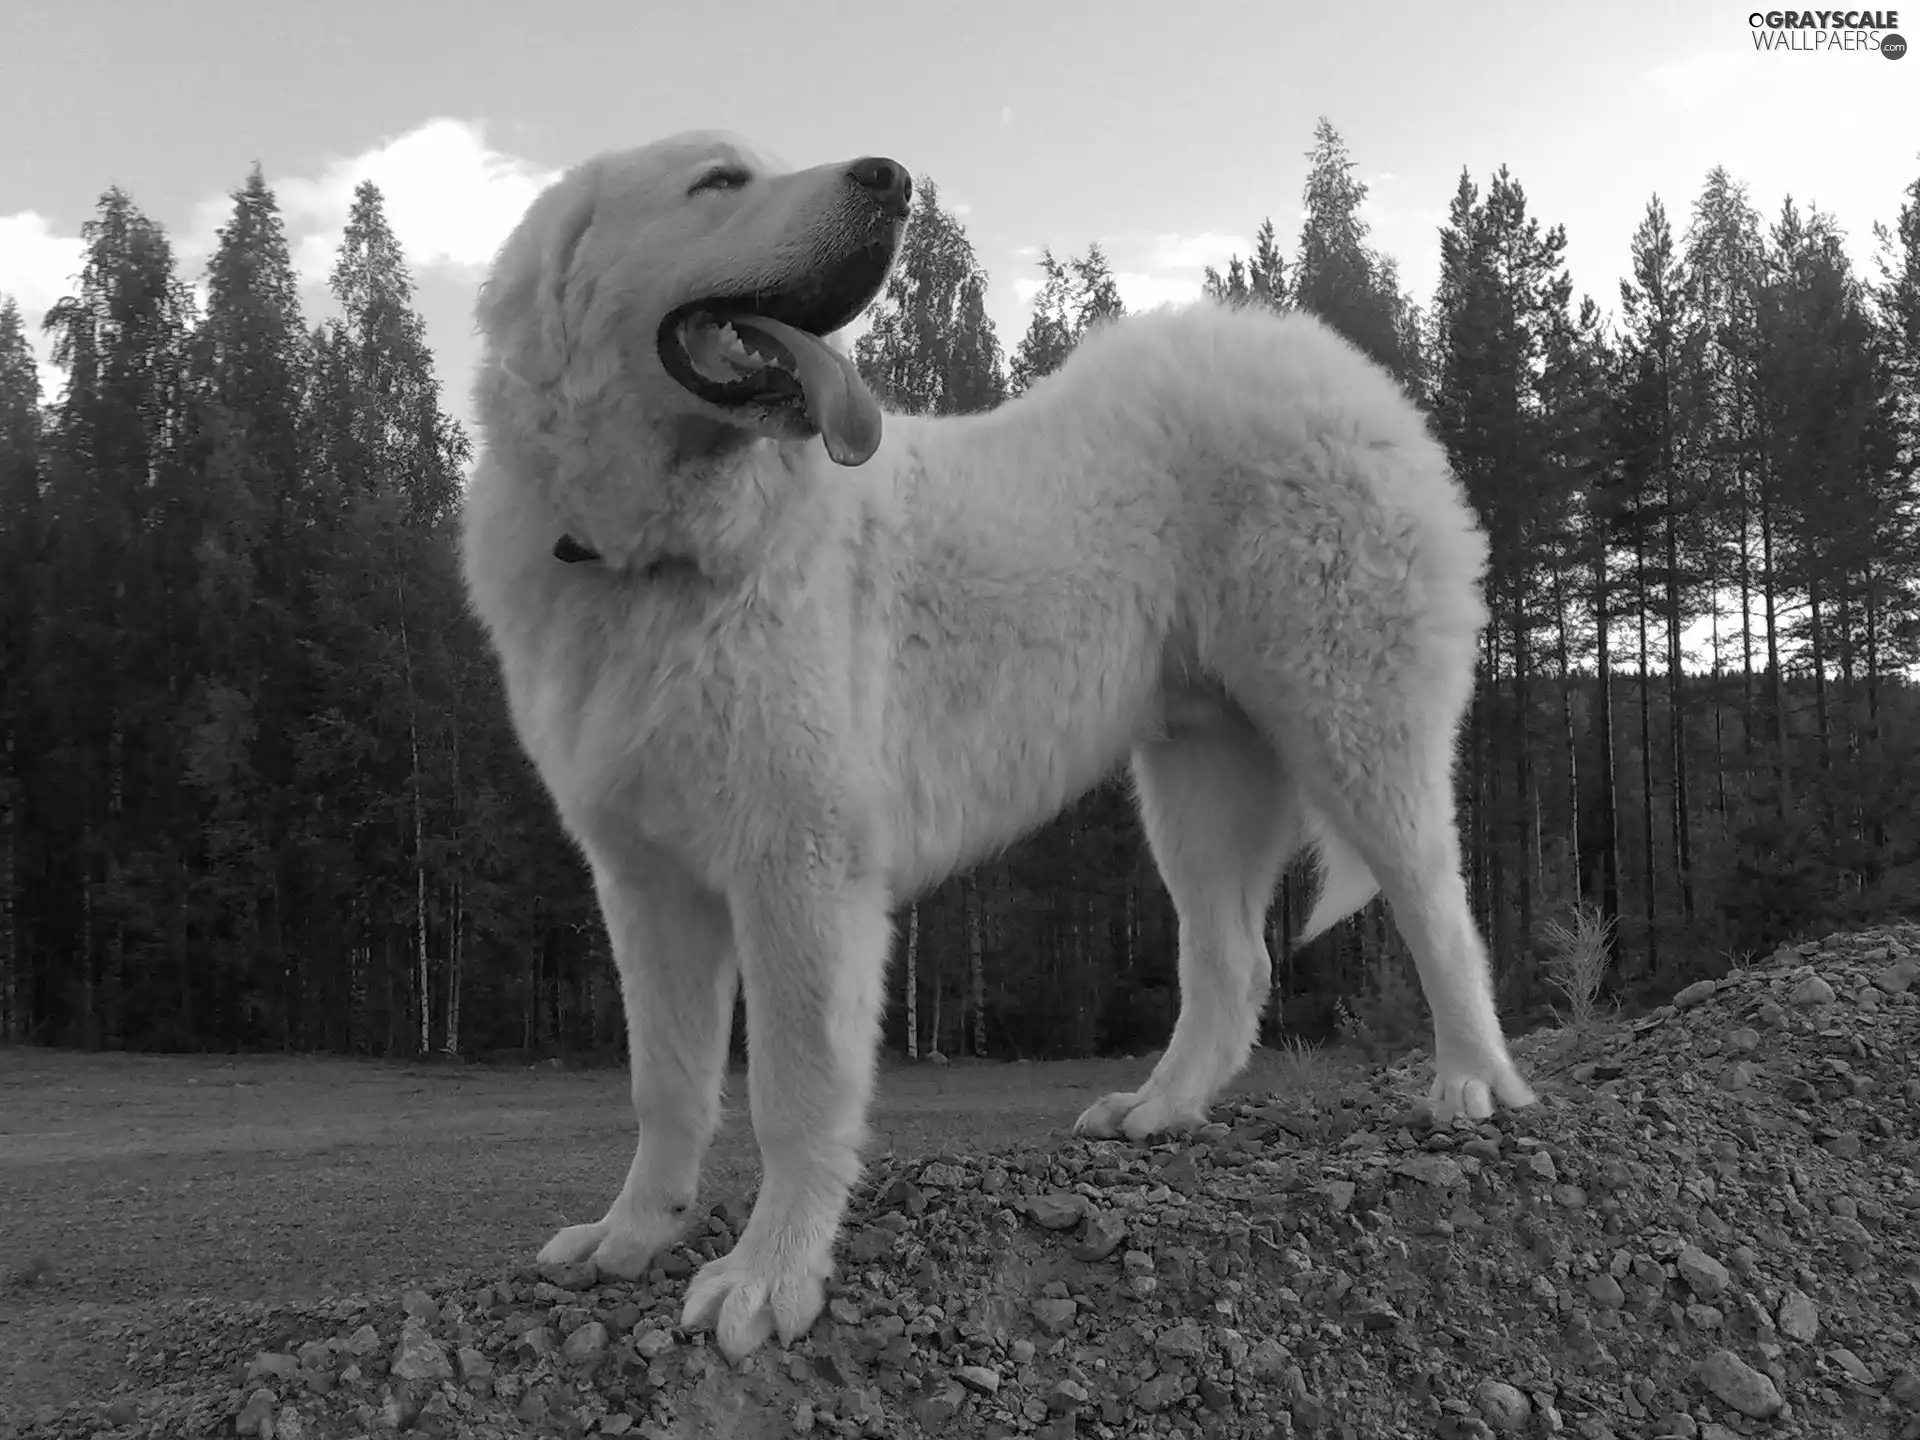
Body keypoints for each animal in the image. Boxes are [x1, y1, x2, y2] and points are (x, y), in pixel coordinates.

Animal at [456, 132, 1536, 1367]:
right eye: (719, 182)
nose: (890, 179)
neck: (660, 559)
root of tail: (1339, 367)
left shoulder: (801, 865)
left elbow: (794, 1092)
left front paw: (770, 1278)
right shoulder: (645, 882)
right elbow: (665, 1086)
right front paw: (633, 1235)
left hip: (1355, 725)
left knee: (1438, 907)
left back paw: (1473, 1084)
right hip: (1195, 784)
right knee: (1233, 962)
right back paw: (1160, 1109)